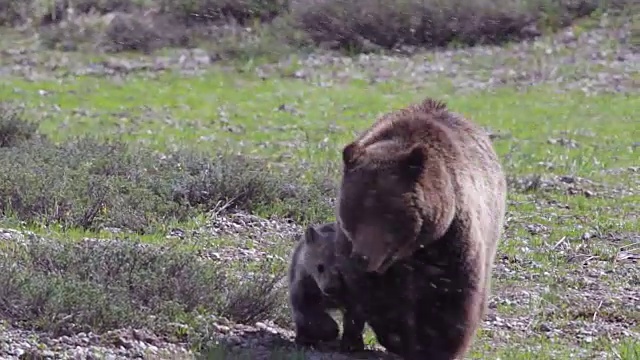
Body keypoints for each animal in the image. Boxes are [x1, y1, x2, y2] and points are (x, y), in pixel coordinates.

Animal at [288, 222, 368, 352]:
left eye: (342, 270)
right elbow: (306, 307)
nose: (329, 288)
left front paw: (350, 344)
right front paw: (329, 330)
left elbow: (355, 313)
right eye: (320, 267)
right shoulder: (307, 280)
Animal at [338, 98, 508, 360]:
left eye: (388, 212)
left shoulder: (451, 243)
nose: (362, 258)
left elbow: (455, 299)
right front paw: (397, 338)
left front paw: (439, 348)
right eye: (354, 209)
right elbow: (374, 297)